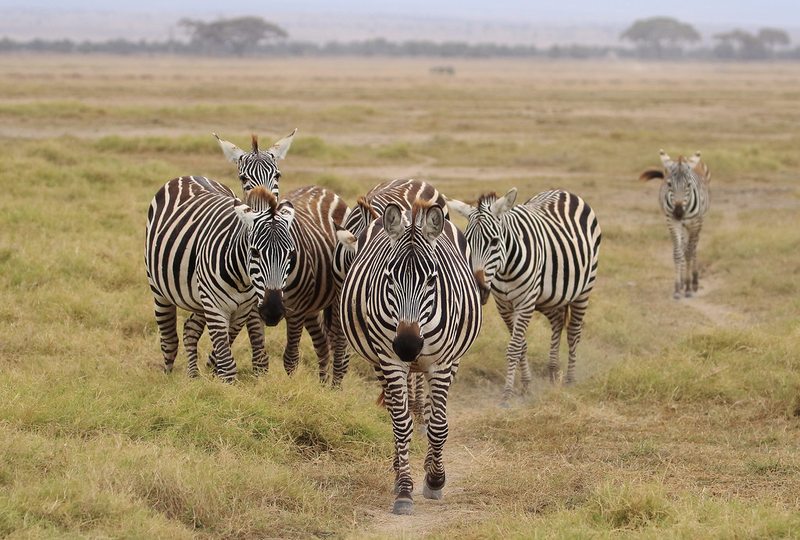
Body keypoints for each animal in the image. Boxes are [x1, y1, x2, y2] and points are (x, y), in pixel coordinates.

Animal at [145, 178, 296, 381]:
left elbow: (222, 352)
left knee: (190, 329)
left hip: (200, 298)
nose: (273, 312)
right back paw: (168, 377)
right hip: (160, 290)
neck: (242, 279)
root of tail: (190, 176)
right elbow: (227, 365)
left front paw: (213, 375)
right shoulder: (215, 306)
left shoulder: (242, 309)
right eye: (254, 252)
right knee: (169, 339)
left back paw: (193, 376)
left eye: (291, 255)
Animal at [339, 199, 482, 515]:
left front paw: (435, 479)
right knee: (396, 412)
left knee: (431, 412)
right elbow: (402, 423)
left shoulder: (441, 363)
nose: (407, 345)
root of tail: (409, 211)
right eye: (389, 277)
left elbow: (438, 425)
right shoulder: (390, 360)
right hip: (380, 362)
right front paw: (404, 489)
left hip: (452, 360)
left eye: (432, 279)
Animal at [448, 188, 601, 404]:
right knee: (557, 322)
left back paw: (570, 379)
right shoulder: (503, 305)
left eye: (494, 241)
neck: (504, 269)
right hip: (548, 297)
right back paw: (553, 371)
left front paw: (507, 394)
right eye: (467, 242)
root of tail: (563, 191)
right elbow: (521, 345)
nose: (479, 289)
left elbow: (514, 347)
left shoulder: (525, 301)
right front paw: (526, 384)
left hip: (583, 290)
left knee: (573, 332)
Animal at [639, 150, 710, 299]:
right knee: (684, 246)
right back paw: (683, 281)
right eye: (669, 184)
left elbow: (689, 253)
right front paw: (678, 287)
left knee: (694, 247)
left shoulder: (694, 223)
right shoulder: (672, 222)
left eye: (688, 185)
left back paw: (694, 282)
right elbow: (678, 253)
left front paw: (688, 288)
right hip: (683, 226)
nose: (678, 213)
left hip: (698, 222)